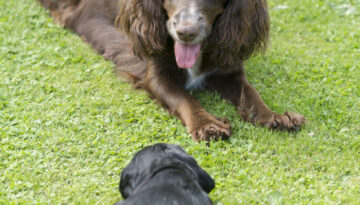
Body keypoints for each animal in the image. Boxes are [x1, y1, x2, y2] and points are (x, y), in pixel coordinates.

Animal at [38, 0, 306, 141]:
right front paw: (207, 125)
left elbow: (251, 93)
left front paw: (274, 116)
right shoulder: (155, 73)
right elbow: (184, 98)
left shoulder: (228, 67)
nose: (185, 32)